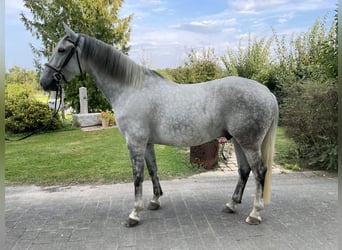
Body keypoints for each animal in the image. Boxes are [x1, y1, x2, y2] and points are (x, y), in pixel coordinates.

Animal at [41, 24, 280, 227]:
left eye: (62, 50)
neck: (131, 88)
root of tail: (267, 93)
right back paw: (231, 204)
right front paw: (154, 201)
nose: (45, 82)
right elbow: (153, 169)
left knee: (259, 171)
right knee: (244, 170)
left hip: (248, 143)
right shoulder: (146, 143)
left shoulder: (134, 143)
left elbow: (137, 176)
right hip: (239, 141)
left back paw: (254, 214)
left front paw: (134, 214)